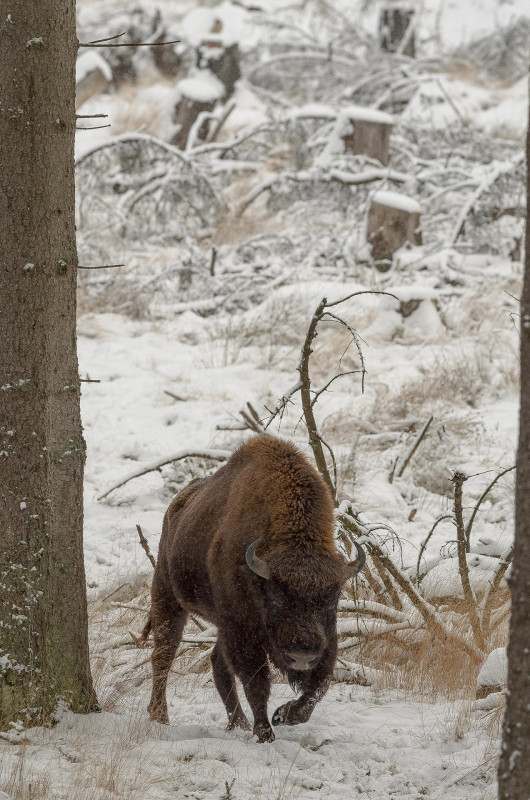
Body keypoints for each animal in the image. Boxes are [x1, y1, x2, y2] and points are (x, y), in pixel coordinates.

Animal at [144, 434, 368, 740]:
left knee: (217, 662)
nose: (301, 655)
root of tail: (176, 506)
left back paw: (237, 723)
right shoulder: (243, 629)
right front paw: (265, 733)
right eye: (276, 598)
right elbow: (256, 683)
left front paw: (284, 715)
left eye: (332, 599)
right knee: (164, 654)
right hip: (167, 595)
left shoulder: (326, 637)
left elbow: (318, 686)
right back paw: (160, 716)